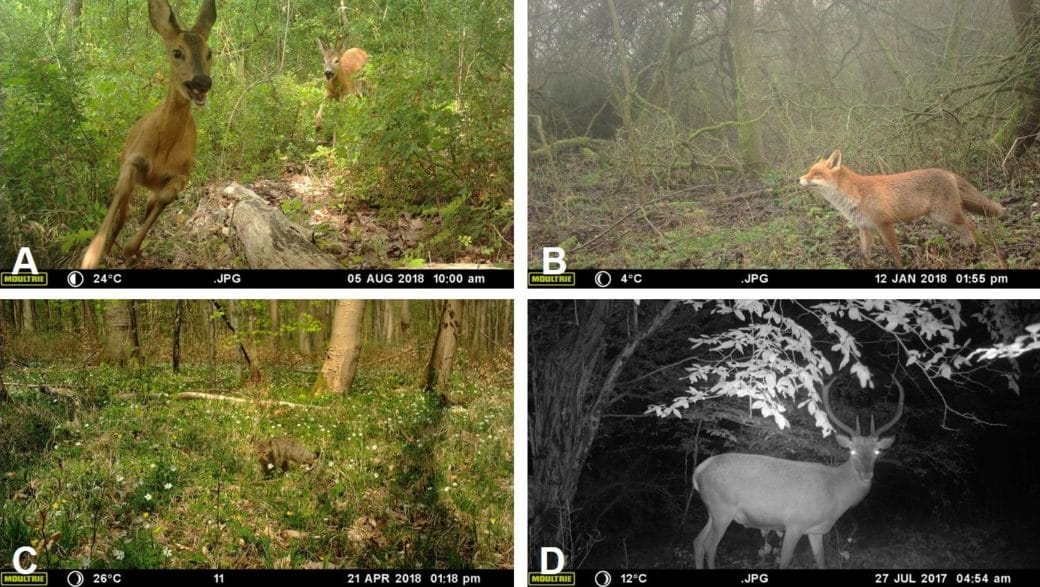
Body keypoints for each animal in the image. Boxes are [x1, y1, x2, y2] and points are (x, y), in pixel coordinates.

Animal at [82, 0, 217, 268]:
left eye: (210, 53)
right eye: (177, 52)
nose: (202, 82)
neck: (163, 148)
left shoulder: (182, 175)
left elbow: (165, 199)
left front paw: (131, 248)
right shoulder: (132, 160)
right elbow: (121, 194)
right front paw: (92, 256)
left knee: (148, 205)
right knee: (123, 214)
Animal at [694, 378, 906, 566]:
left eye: (877, 451)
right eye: (852, 451)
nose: (867, 475)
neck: (835, 495)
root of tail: (698, 472)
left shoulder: (816, 530)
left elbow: (821, 561)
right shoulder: (794, 523)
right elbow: (785, 561)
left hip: (713, 511)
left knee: (698, 542)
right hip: (723, 508)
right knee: (710, 546)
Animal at [794, 149, 998, 266]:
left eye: (816, 173)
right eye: (809, 171)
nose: (798, 179)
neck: (854, 195)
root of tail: (948, 172)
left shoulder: (884, 224)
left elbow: (894, 252)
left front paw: (900, 266)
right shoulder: (865, 228)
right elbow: (864, 254)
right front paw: (868, 266)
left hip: (944, 215)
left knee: (970, 223)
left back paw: (976, 249)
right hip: (939, 217)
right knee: (963, 227)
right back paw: (967, 248)